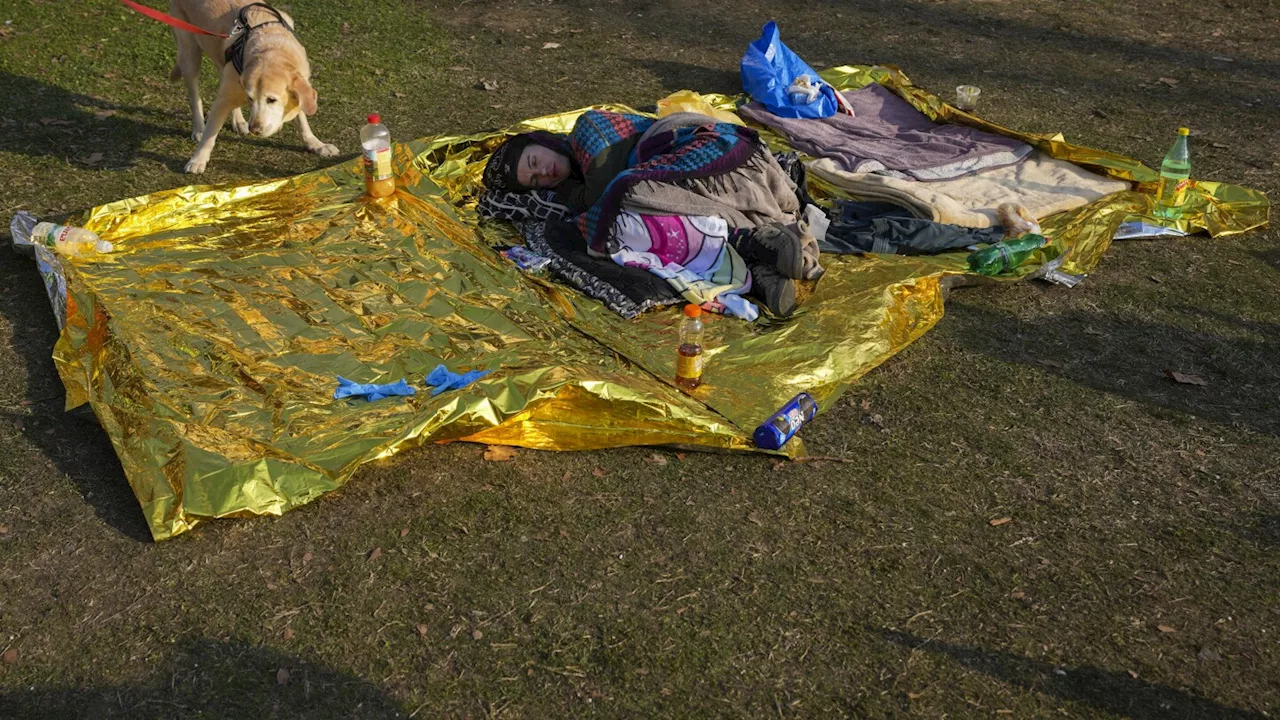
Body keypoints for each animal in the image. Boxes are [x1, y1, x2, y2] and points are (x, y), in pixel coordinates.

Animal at [170, 0, 340, 172]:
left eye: (271, 99)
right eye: (251, 99)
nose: (255, 130)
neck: (273, 47)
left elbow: (303, 120)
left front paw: (317, 144)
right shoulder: (223, 99)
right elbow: (209, 136)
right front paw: (198, 160)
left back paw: (239, 122)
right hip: (190, 55)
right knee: (195, 97)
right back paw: (199, 128)